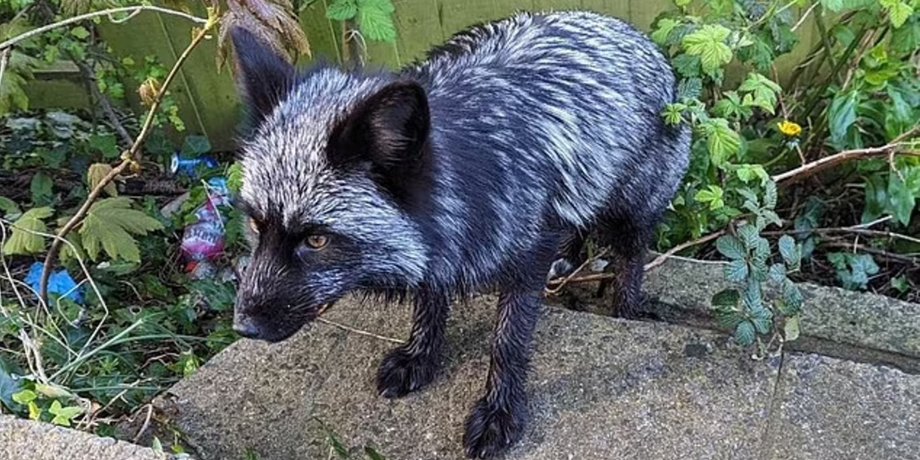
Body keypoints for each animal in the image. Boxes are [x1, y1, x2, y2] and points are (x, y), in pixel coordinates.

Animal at [230, 10, 690, 458]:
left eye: (316, 240)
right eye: (255, 223)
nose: (242, 328)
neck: (470, 168)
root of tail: (638, 37)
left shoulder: (526, 256)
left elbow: (507, 342)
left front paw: (500, 412)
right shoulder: (443, 239)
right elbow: (429, 302)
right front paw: (420, 356)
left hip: (632, 207)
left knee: (632, 254)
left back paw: (625, 309)